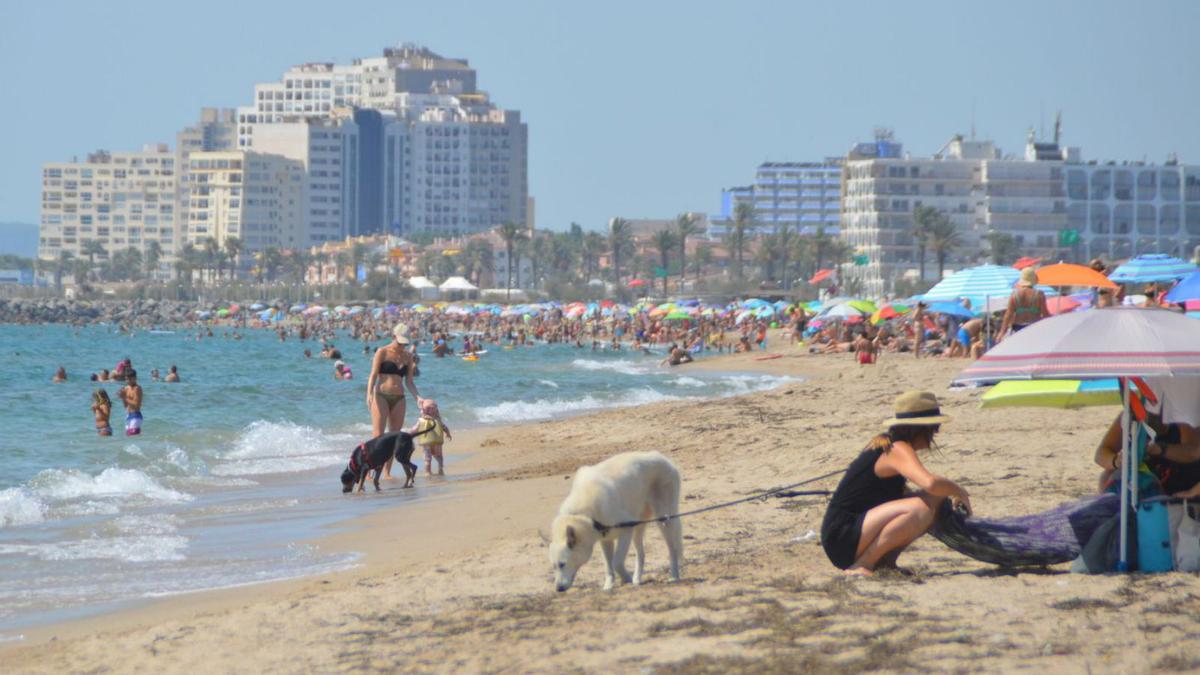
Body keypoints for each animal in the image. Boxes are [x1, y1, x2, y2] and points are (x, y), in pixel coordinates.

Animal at [547, 451, 681, 588]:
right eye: (554, 567)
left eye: (562, 564)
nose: (558, 589)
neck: (583, 514)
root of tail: (662, 457)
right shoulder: (605, 539)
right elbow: (608, 566)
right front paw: (608, 586)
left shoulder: (626, 531)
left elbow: (616, 563)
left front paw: (626, 578)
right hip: (638, 525)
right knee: (641, 554)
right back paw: (637, 578)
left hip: (664, 520)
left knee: (673, 549)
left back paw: (674, 576)